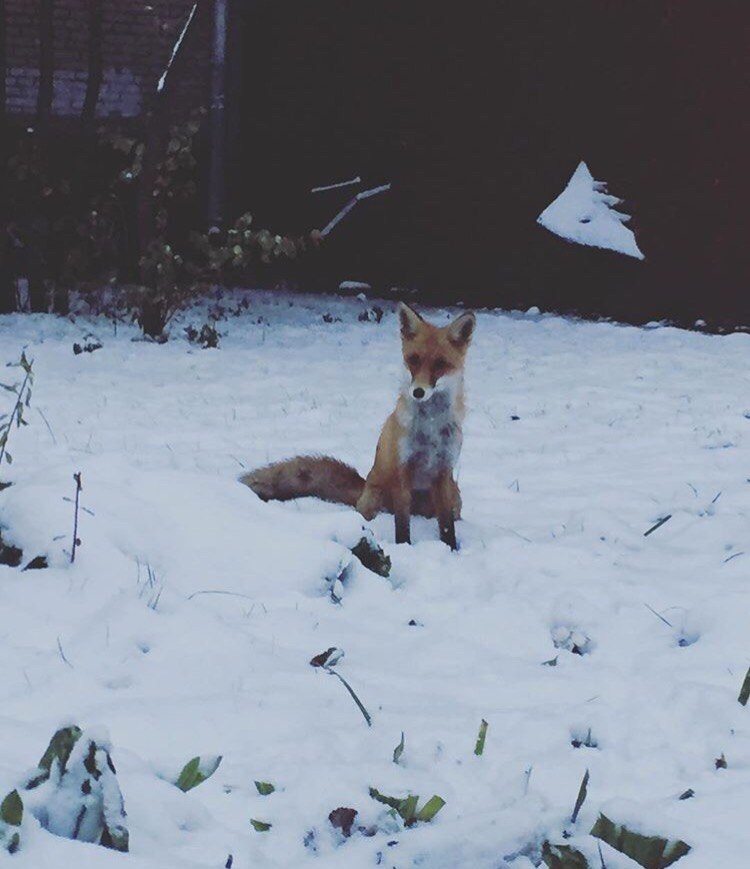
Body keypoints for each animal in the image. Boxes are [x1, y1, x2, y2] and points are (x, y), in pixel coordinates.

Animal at [241, 304, 476, 548]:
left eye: (440, 364)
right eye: (414, 359)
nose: (418, 392)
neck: (430, 430)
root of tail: (363, 487)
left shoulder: (443, 471)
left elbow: (446, 525)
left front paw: (451, 549)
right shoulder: (402, 472)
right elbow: (402, 523)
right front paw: (404, 547)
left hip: (455, 495)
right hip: (377, 497)